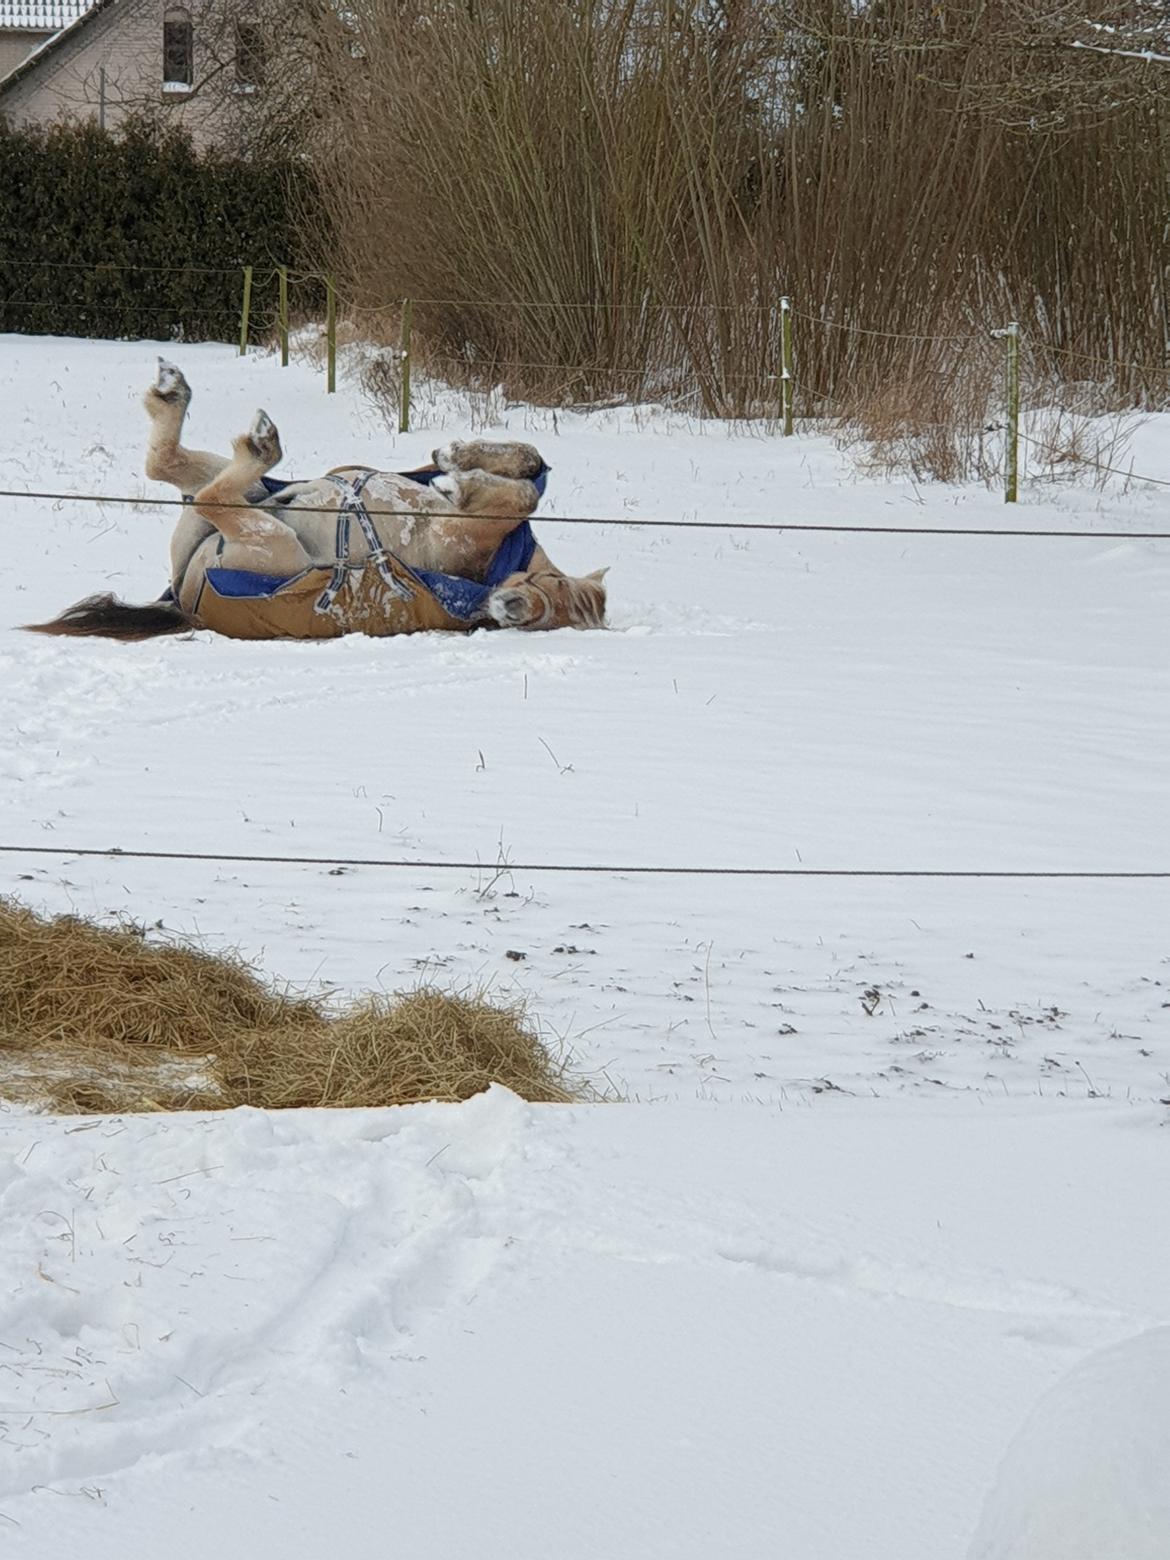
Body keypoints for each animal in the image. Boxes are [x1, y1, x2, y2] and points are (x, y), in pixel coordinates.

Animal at [25, 358, 614, 639]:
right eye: (555, 588)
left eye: (553, 619)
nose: (512, 610)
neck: (495, 563)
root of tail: (187, 604)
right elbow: (532, 469)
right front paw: (455, 459)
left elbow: (523, 496)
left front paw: (458, 476)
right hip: (251, 503)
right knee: (173, 467)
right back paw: (178, 394)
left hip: (266, 538)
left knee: (209, 491)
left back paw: (257, 441)